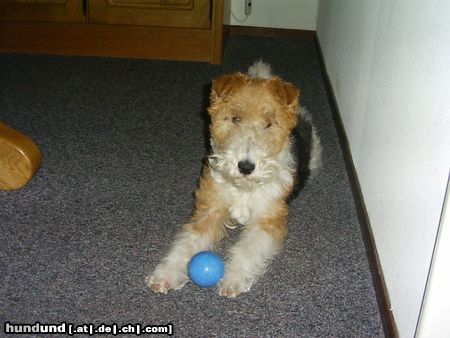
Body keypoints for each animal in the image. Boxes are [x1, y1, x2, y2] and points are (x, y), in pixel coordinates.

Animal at [147, 61, 320, 298]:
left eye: (269, 124)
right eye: (235, 118)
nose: (246, 166)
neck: (244, 188)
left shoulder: (268, 220)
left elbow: (248, 249)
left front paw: (232, 280)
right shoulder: (208, 210)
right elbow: (187, 243)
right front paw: (165, 275)